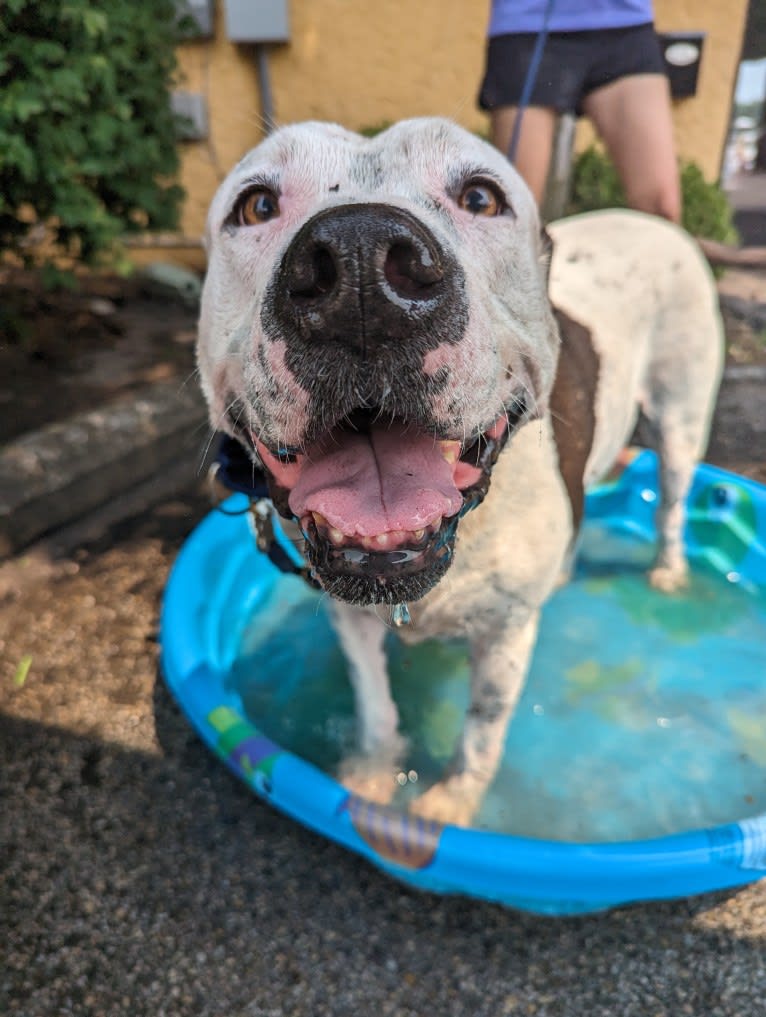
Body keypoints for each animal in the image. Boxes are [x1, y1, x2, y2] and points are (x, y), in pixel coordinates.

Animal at [198, 116, 724, 825]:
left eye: (480, 196)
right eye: (255, 205)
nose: (360, 264)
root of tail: (649, 219)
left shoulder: (504, 634)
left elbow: (484, 723)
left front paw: (449, 803)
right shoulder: (348, 613)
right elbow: (373, 702)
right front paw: (372, 774)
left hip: (680, 419)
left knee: (670, 502)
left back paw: (668, 571)